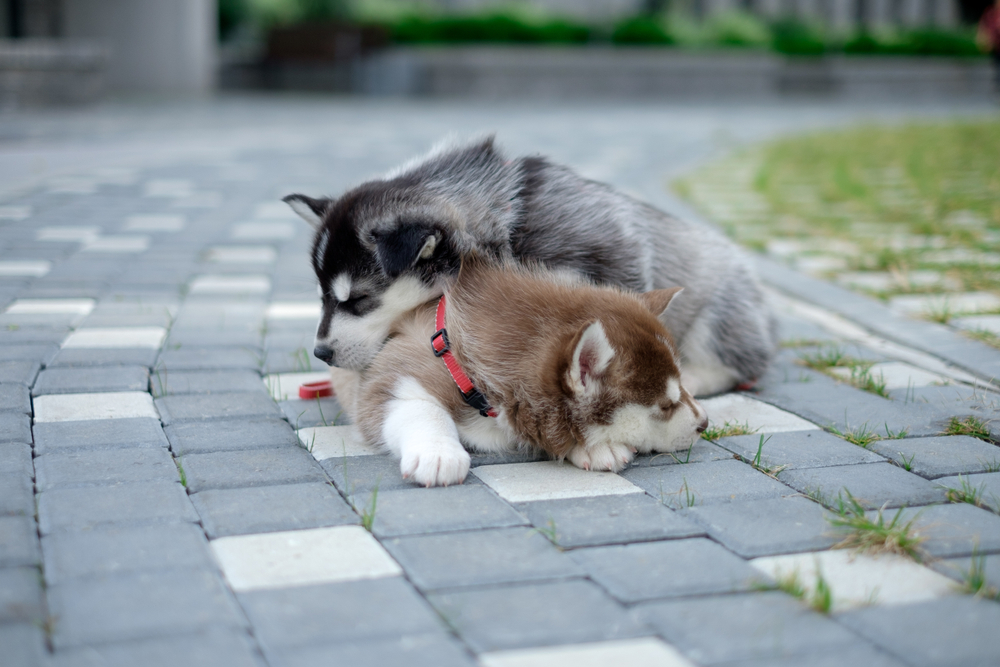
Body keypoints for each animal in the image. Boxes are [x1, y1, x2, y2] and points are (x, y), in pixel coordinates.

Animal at [286, 135, 776, 396]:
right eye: (323, 298)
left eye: (360, 300)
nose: (321, 353)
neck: (508, 221)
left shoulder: (617, 257)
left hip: (721, 312)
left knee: (738, 364)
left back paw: (695, 375)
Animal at [344, 256, 712, 486]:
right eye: (665, 406)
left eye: (682, 387)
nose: (706, 423)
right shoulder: (393, 373)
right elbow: (418, 408)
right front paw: (437, 453)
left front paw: (595, 446)